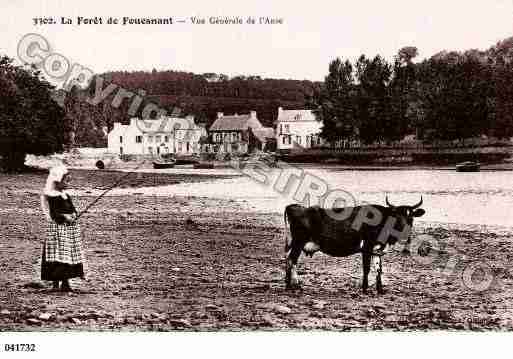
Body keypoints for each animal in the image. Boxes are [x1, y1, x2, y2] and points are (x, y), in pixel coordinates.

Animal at [282, 197, 422, 296]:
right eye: (397, 216)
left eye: (411, 217)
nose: (404, 232)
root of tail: (294, 206)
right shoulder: (367, 247)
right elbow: (367, 268)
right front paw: (365, 289)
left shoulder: (377, 249)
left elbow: (378, 269)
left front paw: (380, 290)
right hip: (298, 242)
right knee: (292, 260)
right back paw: (293, 285)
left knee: (289, 259)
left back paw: (289, 284)